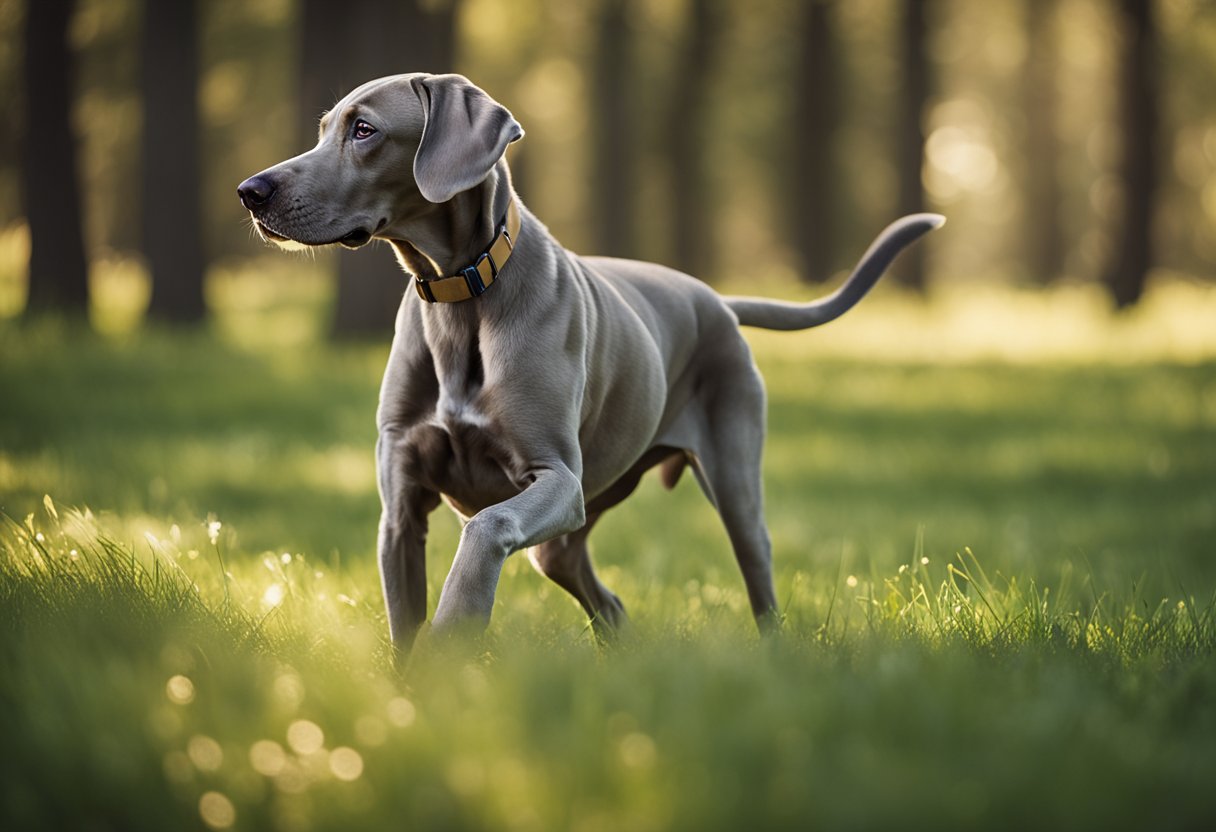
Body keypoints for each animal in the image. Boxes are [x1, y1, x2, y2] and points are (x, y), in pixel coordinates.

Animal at [234, 72, 938, 651]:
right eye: (325, 127)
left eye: (365, 130)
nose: (250, 190)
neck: (461, 295)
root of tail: (716, 300)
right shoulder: (401, 509)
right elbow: (405, 620)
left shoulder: (555, 480)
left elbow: (485, 527)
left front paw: (456, 629)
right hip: (573, 529)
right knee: (604, 598)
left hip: (729, 478)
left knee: (756, 569)